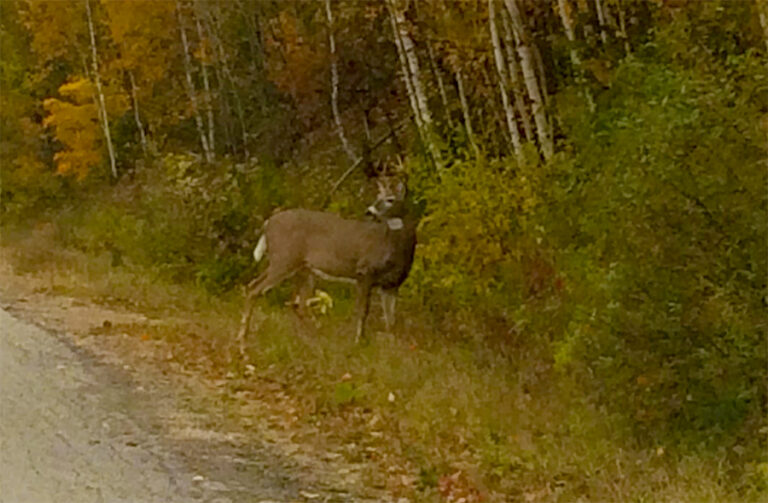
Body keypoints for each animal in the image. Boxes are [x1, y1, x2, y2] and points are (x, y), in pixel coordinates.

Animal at [238, 173, 416, 358]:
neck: (393, 247)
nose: (369, 211)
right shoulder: (364, 272)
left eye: (390, 199)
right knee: (254, 289)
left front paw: (391, 349)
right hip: (284, 259)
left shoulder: (392, 285)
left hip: (302, 269)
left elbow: (391, 320)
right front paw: (358, 343)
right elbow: (362, 311)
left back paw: (308, 343)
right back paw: (243, 347)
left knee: (297, 305)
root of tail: (268, 223)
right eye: (377, 196)